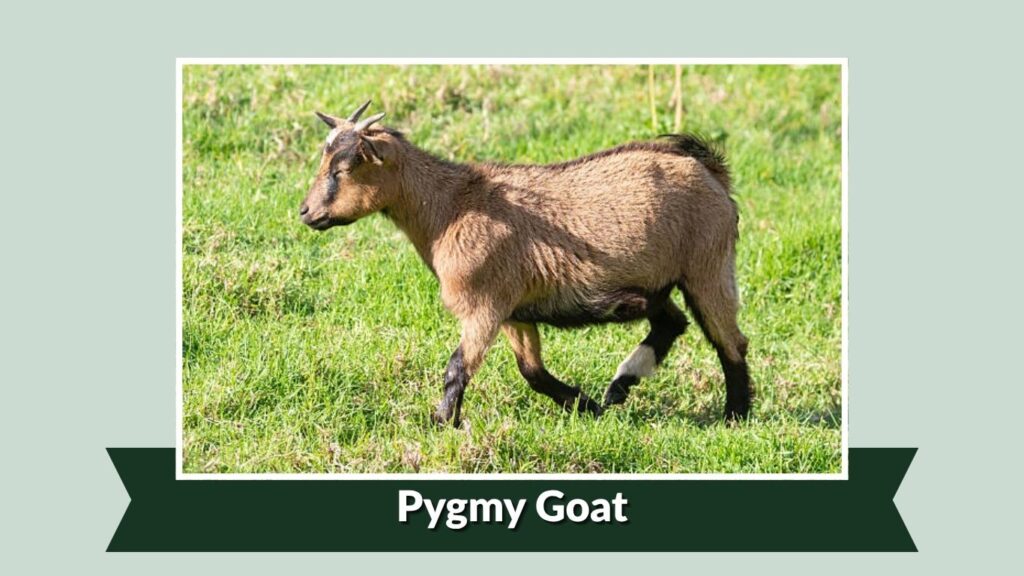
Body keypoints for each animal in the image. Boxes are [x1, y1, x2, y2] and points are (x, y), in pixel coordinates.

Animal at [300, 101, 752, 427]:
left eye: (343, 168)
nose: (306, 212)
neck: (451, 209)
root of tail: (712, 171)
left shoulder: (484, 304)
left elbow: (457, 367)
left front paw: (441, 422)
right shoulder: (515, 311)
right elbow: (531, 371)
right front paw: (586, 406)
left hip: (708, 265)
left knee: (730, 341)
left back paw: (735, 415)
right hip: (660, 280)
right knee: (672, 322)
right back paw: (618, 388)